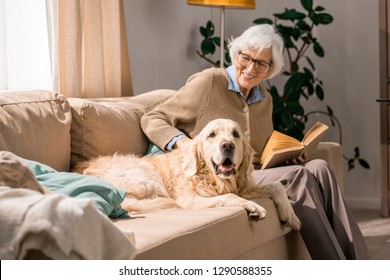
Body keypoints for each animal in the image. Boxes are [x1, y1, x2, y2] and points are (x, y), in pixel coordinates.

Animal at [75, 118, 302, 230]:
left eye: (235, 134)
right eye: (212, 135)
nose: (227, 145)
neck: (211, 178)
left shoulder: (245, 186)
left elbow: (277, 185)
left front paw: (290, 215)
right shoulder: (190, 200)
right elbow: (230, 196)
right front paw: (254, 207)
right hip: (146, 175)